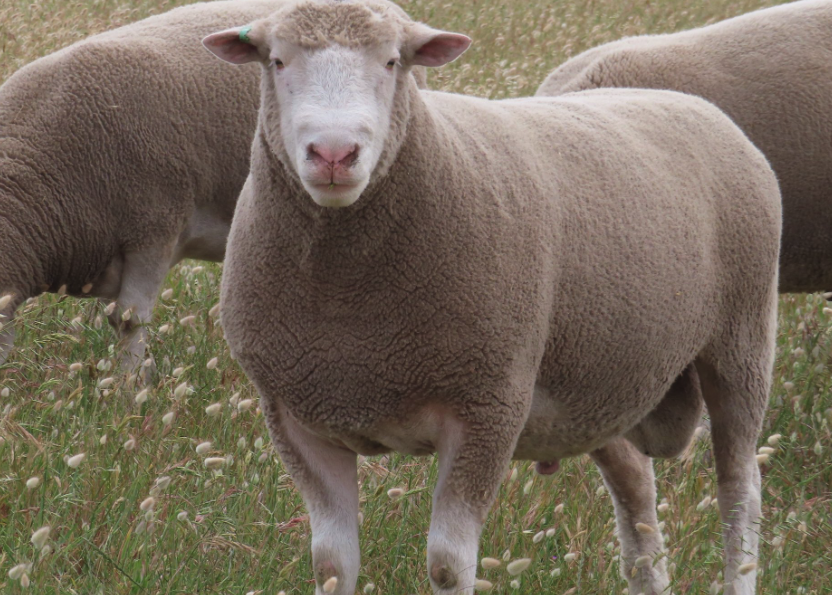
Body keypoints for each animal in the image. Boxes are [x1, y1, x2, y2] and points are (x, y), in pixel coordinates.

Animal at [206, 1, 780, 595]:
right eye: (276, 61)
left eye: (393, 61)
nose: (335, 153)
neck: (346, 301)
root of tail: (693, 104)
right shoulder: (297, 417)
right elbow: (331, 565)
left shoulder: (488, 404)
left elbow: (447, 563)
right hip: (605, 378)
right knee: (636, 494)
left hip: (741, 340)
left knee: (739, 492)